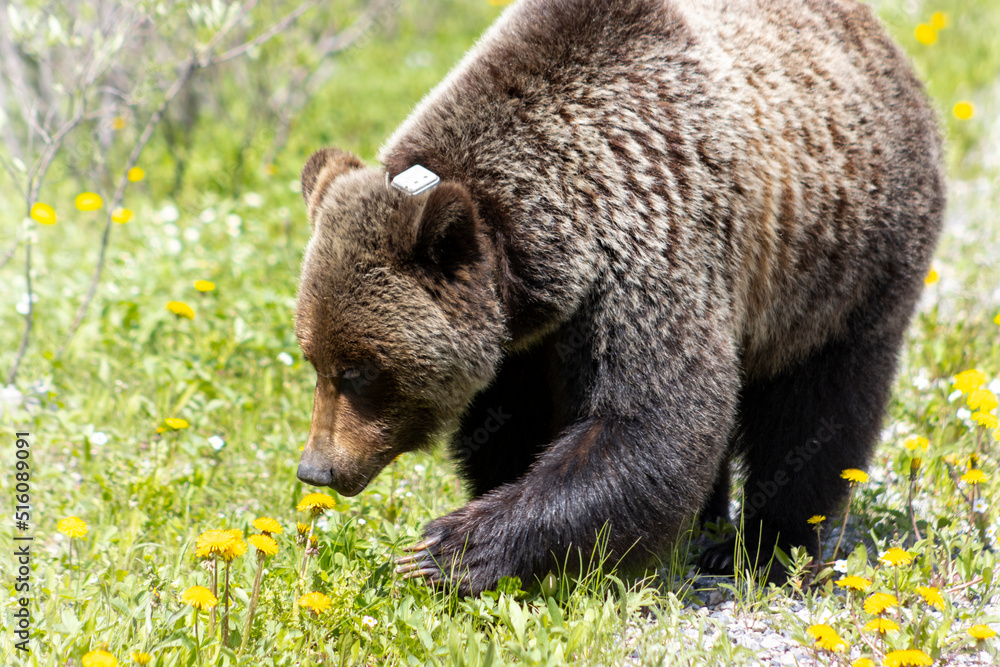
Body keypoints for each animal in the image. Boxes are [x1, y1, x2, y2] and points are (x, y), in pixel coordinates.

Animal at [293, 0, 944, 595]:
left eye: (360, 370)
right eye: (314, 359)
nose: (316, 468)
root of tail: (887, 46)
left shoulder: (651, 250)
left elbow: (651, 424)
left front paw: (447, 550)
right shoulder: (527, 341)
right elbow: (514, 427)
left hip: (843, 264)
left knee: (818, 407)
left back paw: (767, 549)